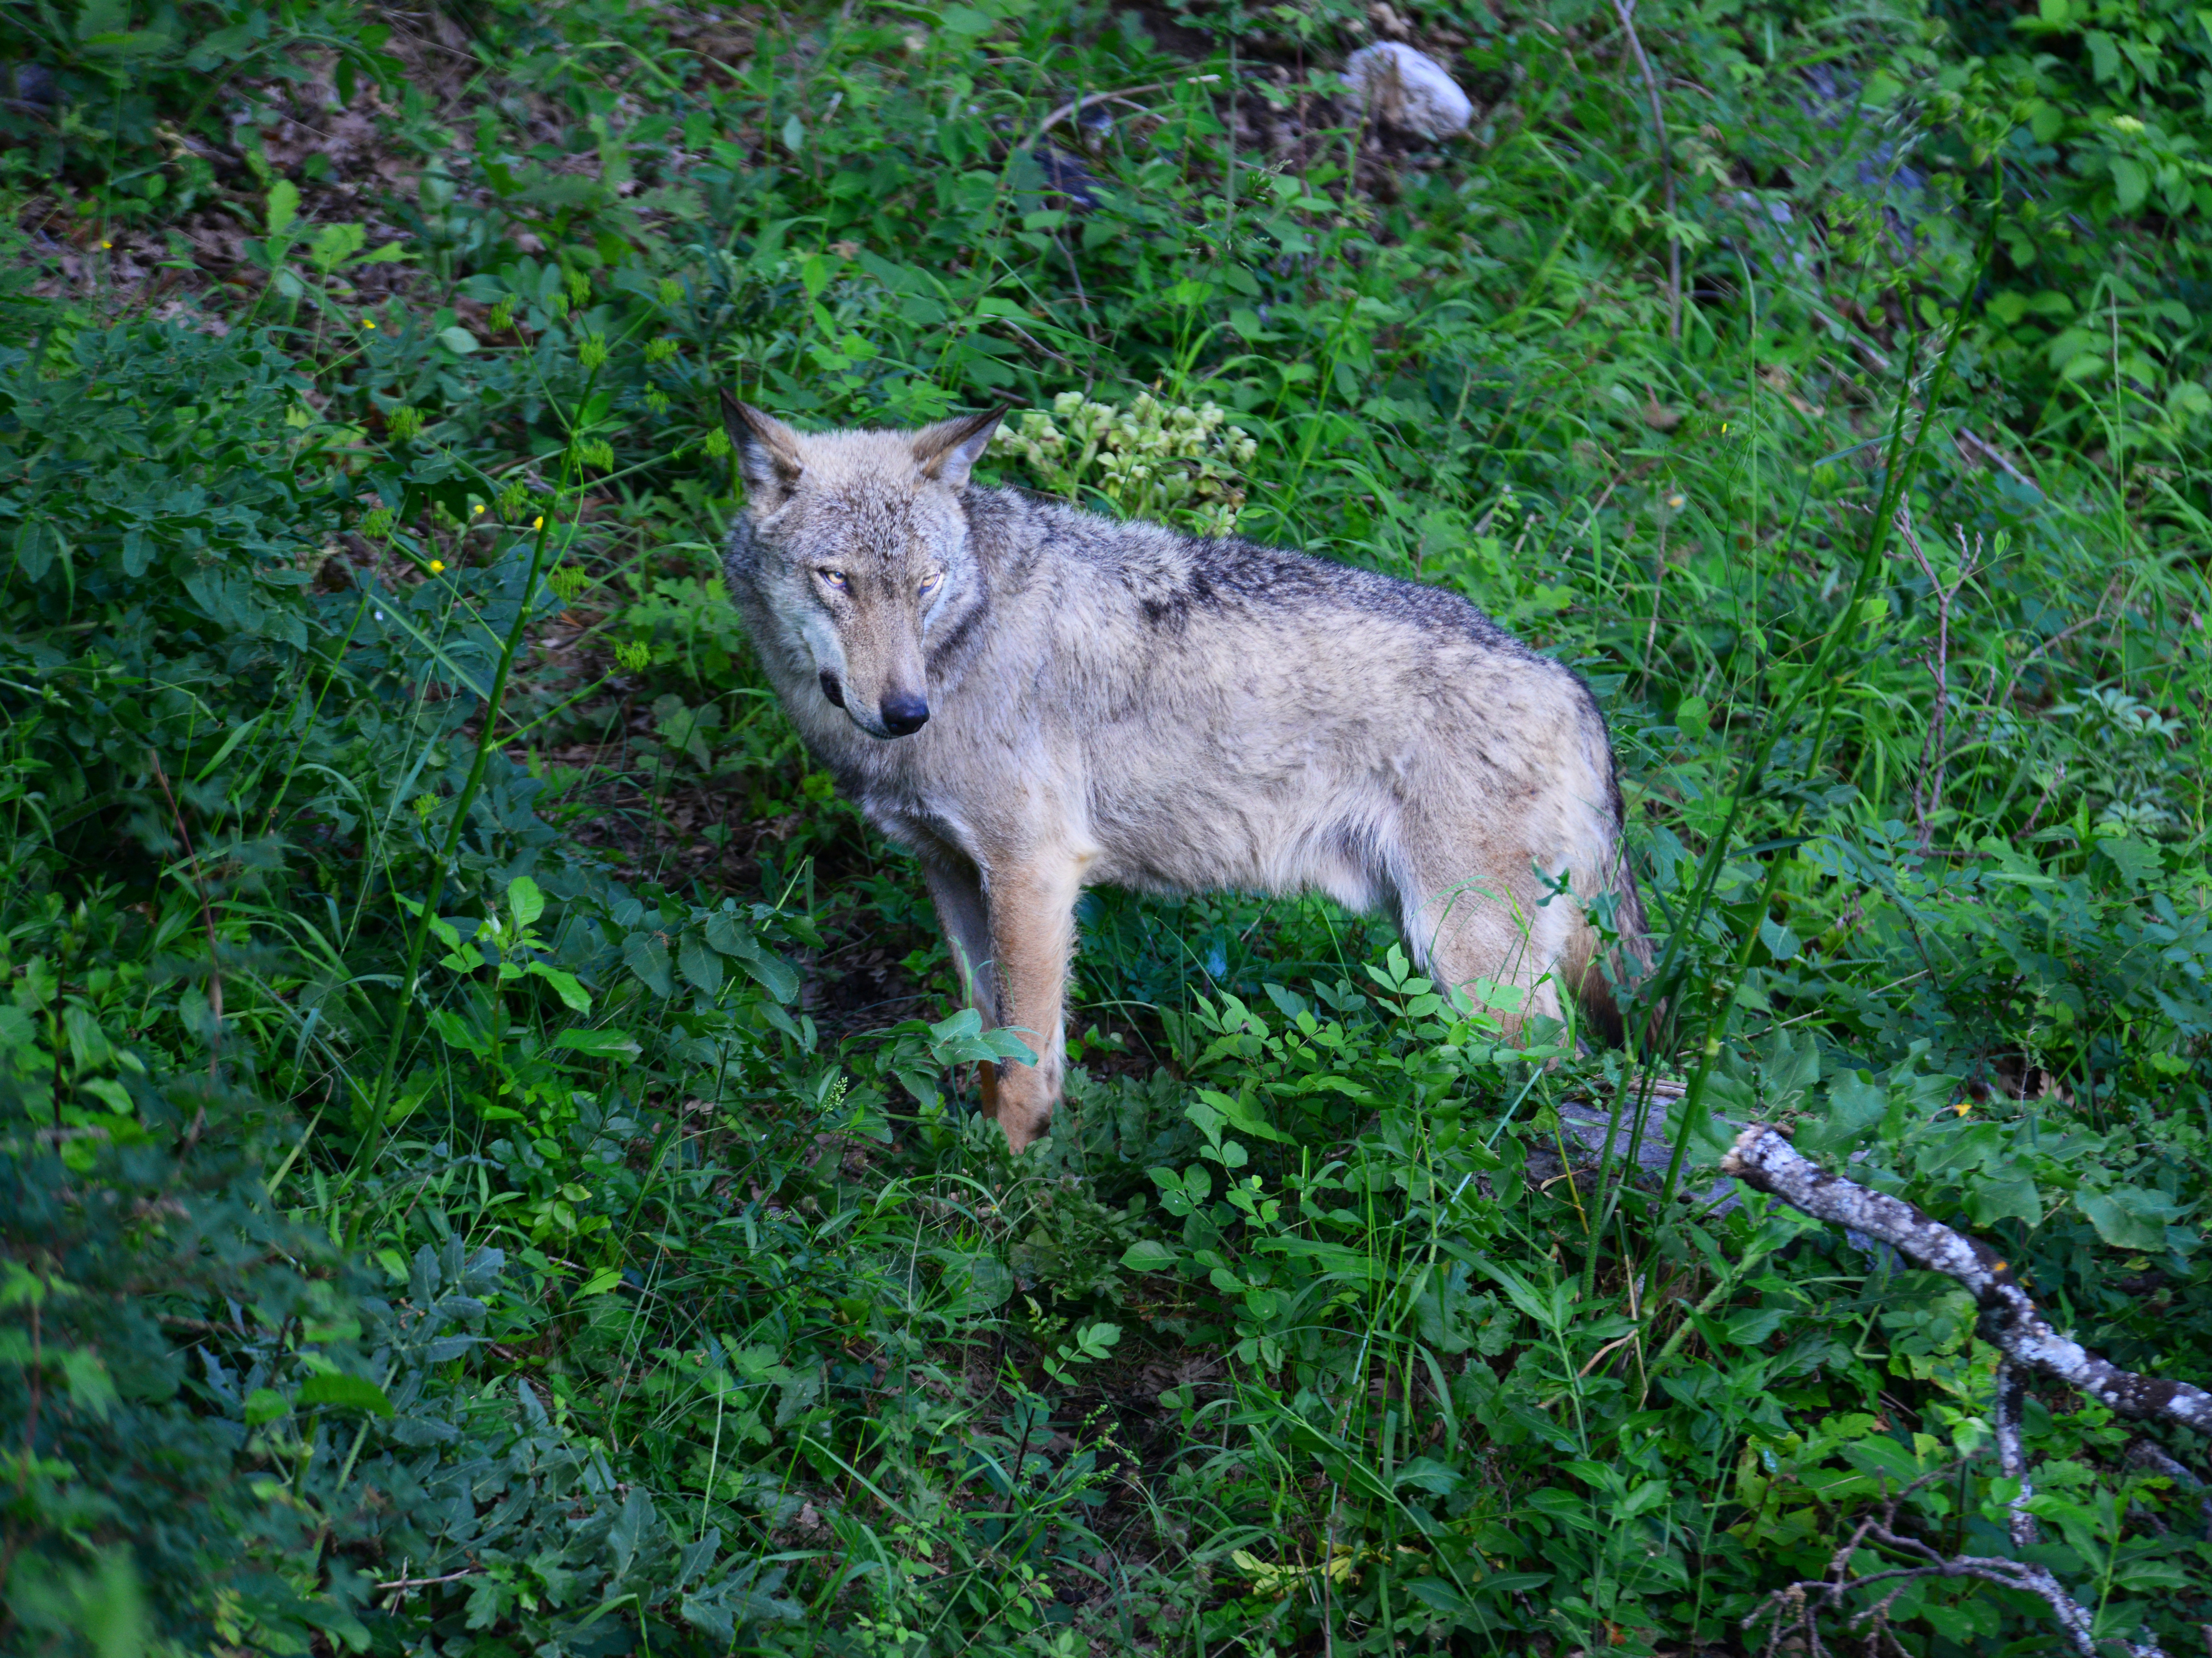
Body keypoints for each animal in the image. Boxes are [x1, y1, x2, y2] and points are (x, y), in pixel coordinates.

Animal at [717, 395, 1651, 1152]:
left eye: (925, 583)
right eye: (836, 579)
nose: (906, 710)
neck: (963, 646)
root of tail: (1570, 683)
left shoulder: (1033, 873)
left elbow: (1026, 1065)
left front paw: (1012, 1189)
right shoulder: (951, 871)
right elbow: (989, 1046)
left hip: (1470, 961)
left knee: (1558, 1070)